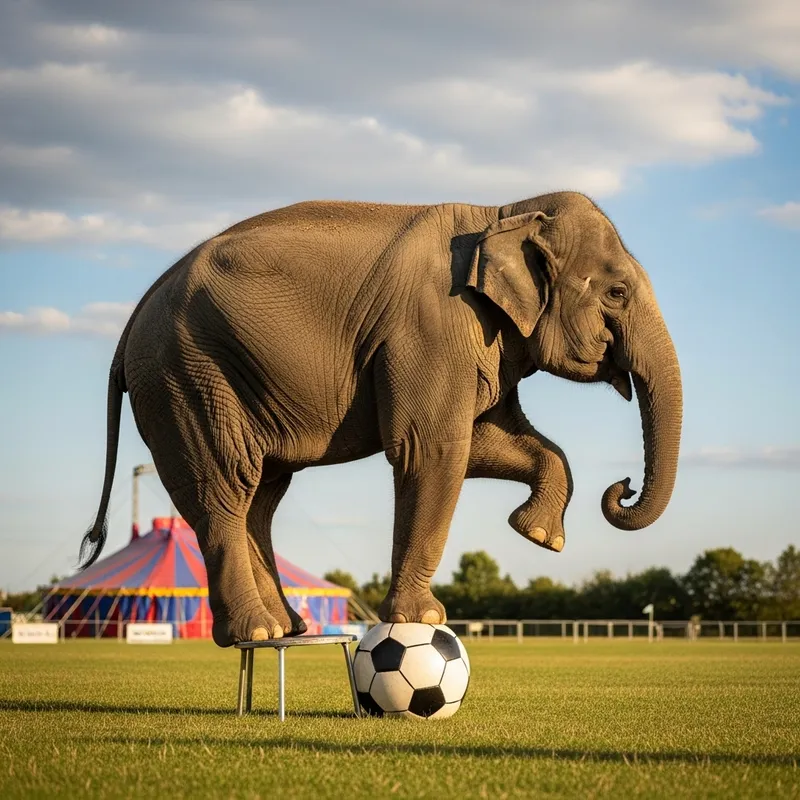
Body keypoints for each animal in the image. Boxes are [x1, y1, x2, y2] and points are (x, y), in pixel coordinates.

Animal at [81, 191, 682, 647]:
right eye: (618, 292)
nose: (624, 487)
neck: (504, 210)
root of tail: (127, 329)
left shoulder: (483, 339)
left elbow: (487, 442)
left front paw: (537, 535)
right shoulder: (432, 327)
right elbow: (434, 448)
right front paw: (425, 618)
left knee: (261, 495)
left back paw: (289, 628)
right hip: (186, 378)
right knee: (225, 486)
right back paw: (258, 633)